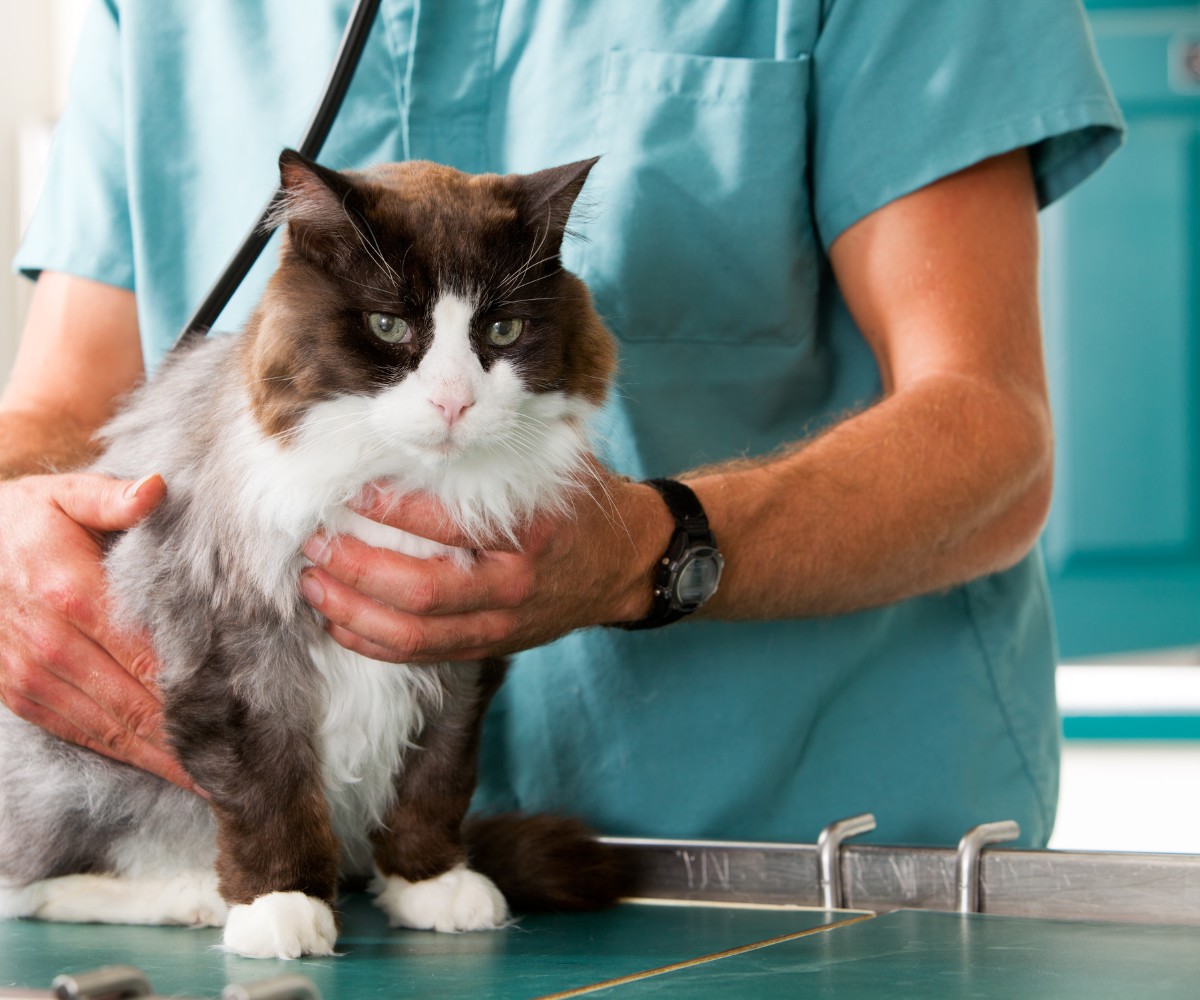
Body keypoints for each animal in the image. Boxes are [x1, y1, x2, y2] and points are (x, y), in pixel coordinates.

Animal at [0, 150, 633, 960]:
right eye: (388, 326)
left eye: (503, 329)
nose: (453, 402)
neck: (400, 482)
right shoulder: (239, 658)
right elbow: (271, 794)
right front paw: (281, 906)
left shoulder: (461, 656)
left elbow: (435, 780)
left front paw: (429, 882)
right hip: (77, 773)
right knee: (29, 884)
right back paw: (189, 896)